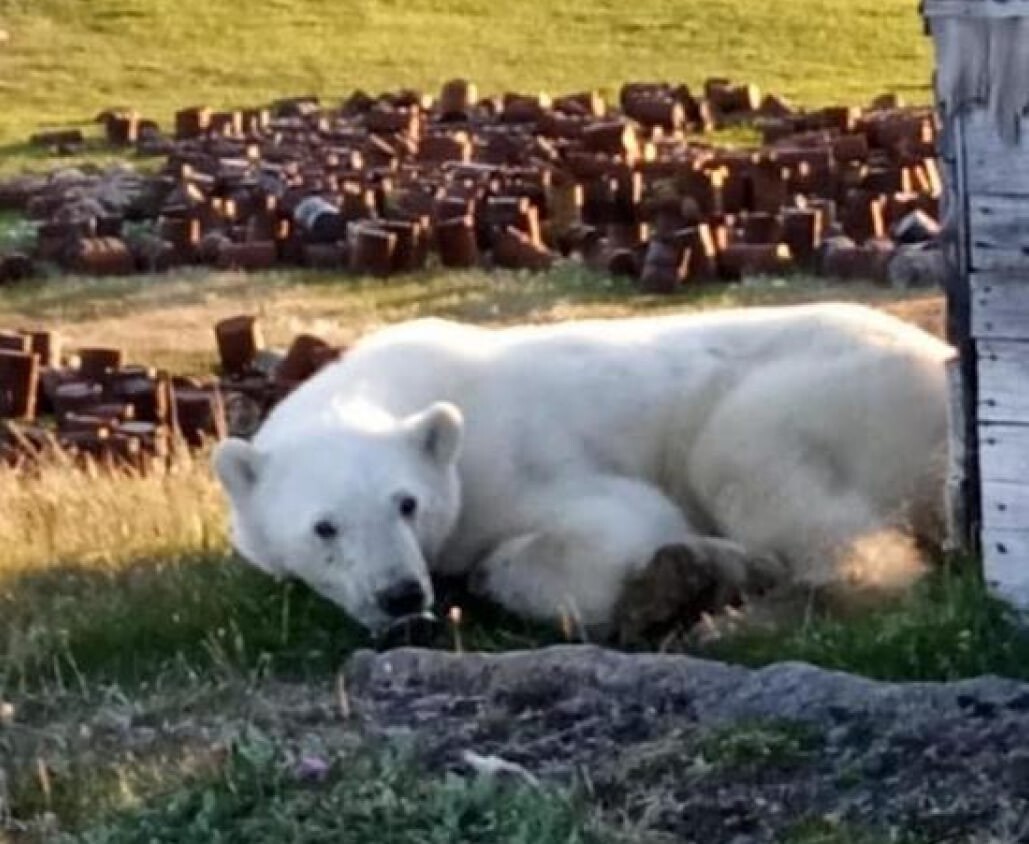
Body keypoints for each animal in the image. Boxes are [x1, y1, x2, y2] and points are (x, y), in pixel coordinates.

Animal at [210, 300, 954, 638]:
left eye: (406, 503)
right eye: (324, 527)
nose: (400, 595)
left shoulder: (512, 460)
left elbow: (614, 526)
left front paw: (488, 577)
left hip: (827, 393)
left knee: (754, 466)